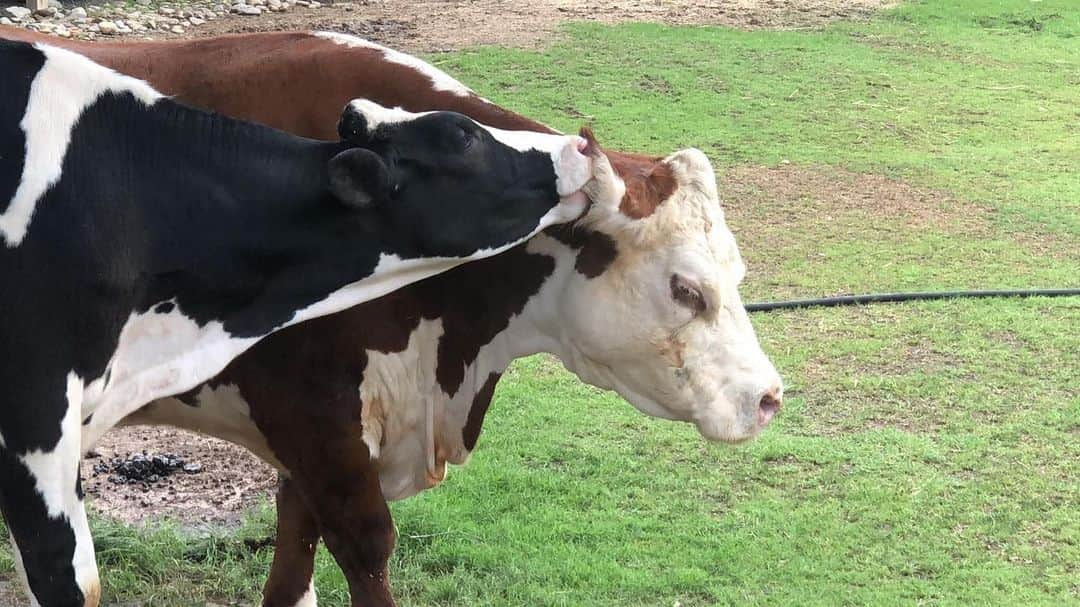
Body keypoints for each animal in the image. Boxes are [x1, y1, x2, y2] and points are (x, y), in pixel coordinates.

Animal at [0, 27, 781, 604]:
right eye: (687, 289)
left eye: (739, 273)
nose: (769, 397)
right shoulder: (312, 411)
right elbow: (366, 544)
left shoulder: (315, 438)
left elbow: (292, 560)